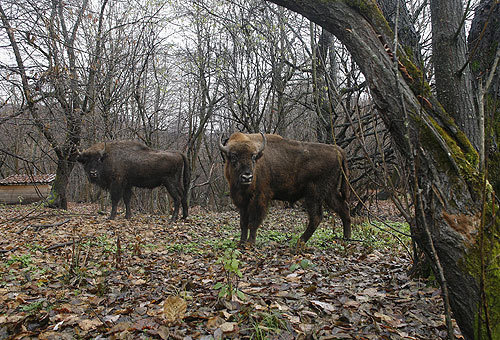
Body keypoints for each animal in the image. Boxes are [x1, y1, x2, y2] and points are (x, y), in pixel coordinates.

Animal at [219, 131, 352, 246]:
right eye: (233, 157)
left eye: (253, 157)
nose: (247, 176)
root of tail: (338, 151)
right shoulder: (243, 202)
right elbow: (243, 223)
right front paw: (241, 243)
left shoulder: (259, 199)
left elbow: (253, 222)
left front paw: (250, 243)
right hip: (330, 192)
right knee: (343, 209)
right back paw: (347, 238)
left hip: (314, 194)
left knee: (317, 217)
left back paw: (300, 241)